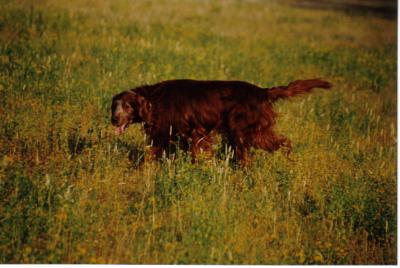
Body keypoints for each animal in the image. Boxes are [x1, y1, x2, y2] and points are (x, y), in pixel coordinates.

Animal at [110, 78, 332, 163]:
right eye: (115, 106)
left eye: (128, 106)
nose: (114, 120)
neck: (155, 100)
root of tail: (262, 92)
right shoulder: (163, 136)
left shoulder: (196, 134)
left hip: (244, 132)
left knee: (282, 143)